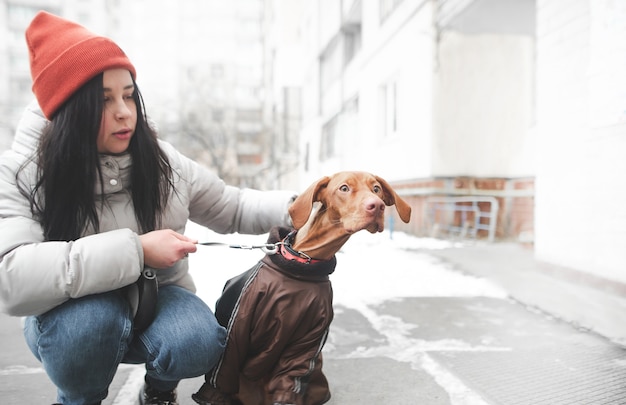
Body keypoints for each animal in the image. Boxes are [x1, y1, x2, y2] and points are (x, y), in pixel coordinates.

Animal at [193, 171, 412, 404]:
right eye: (344, 188)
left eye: (376, 189)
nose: (377, 206)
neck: (302, 267)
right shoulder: (236, 332)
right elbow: (221, 376)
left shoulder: (307, 341)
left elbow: (290, 379)